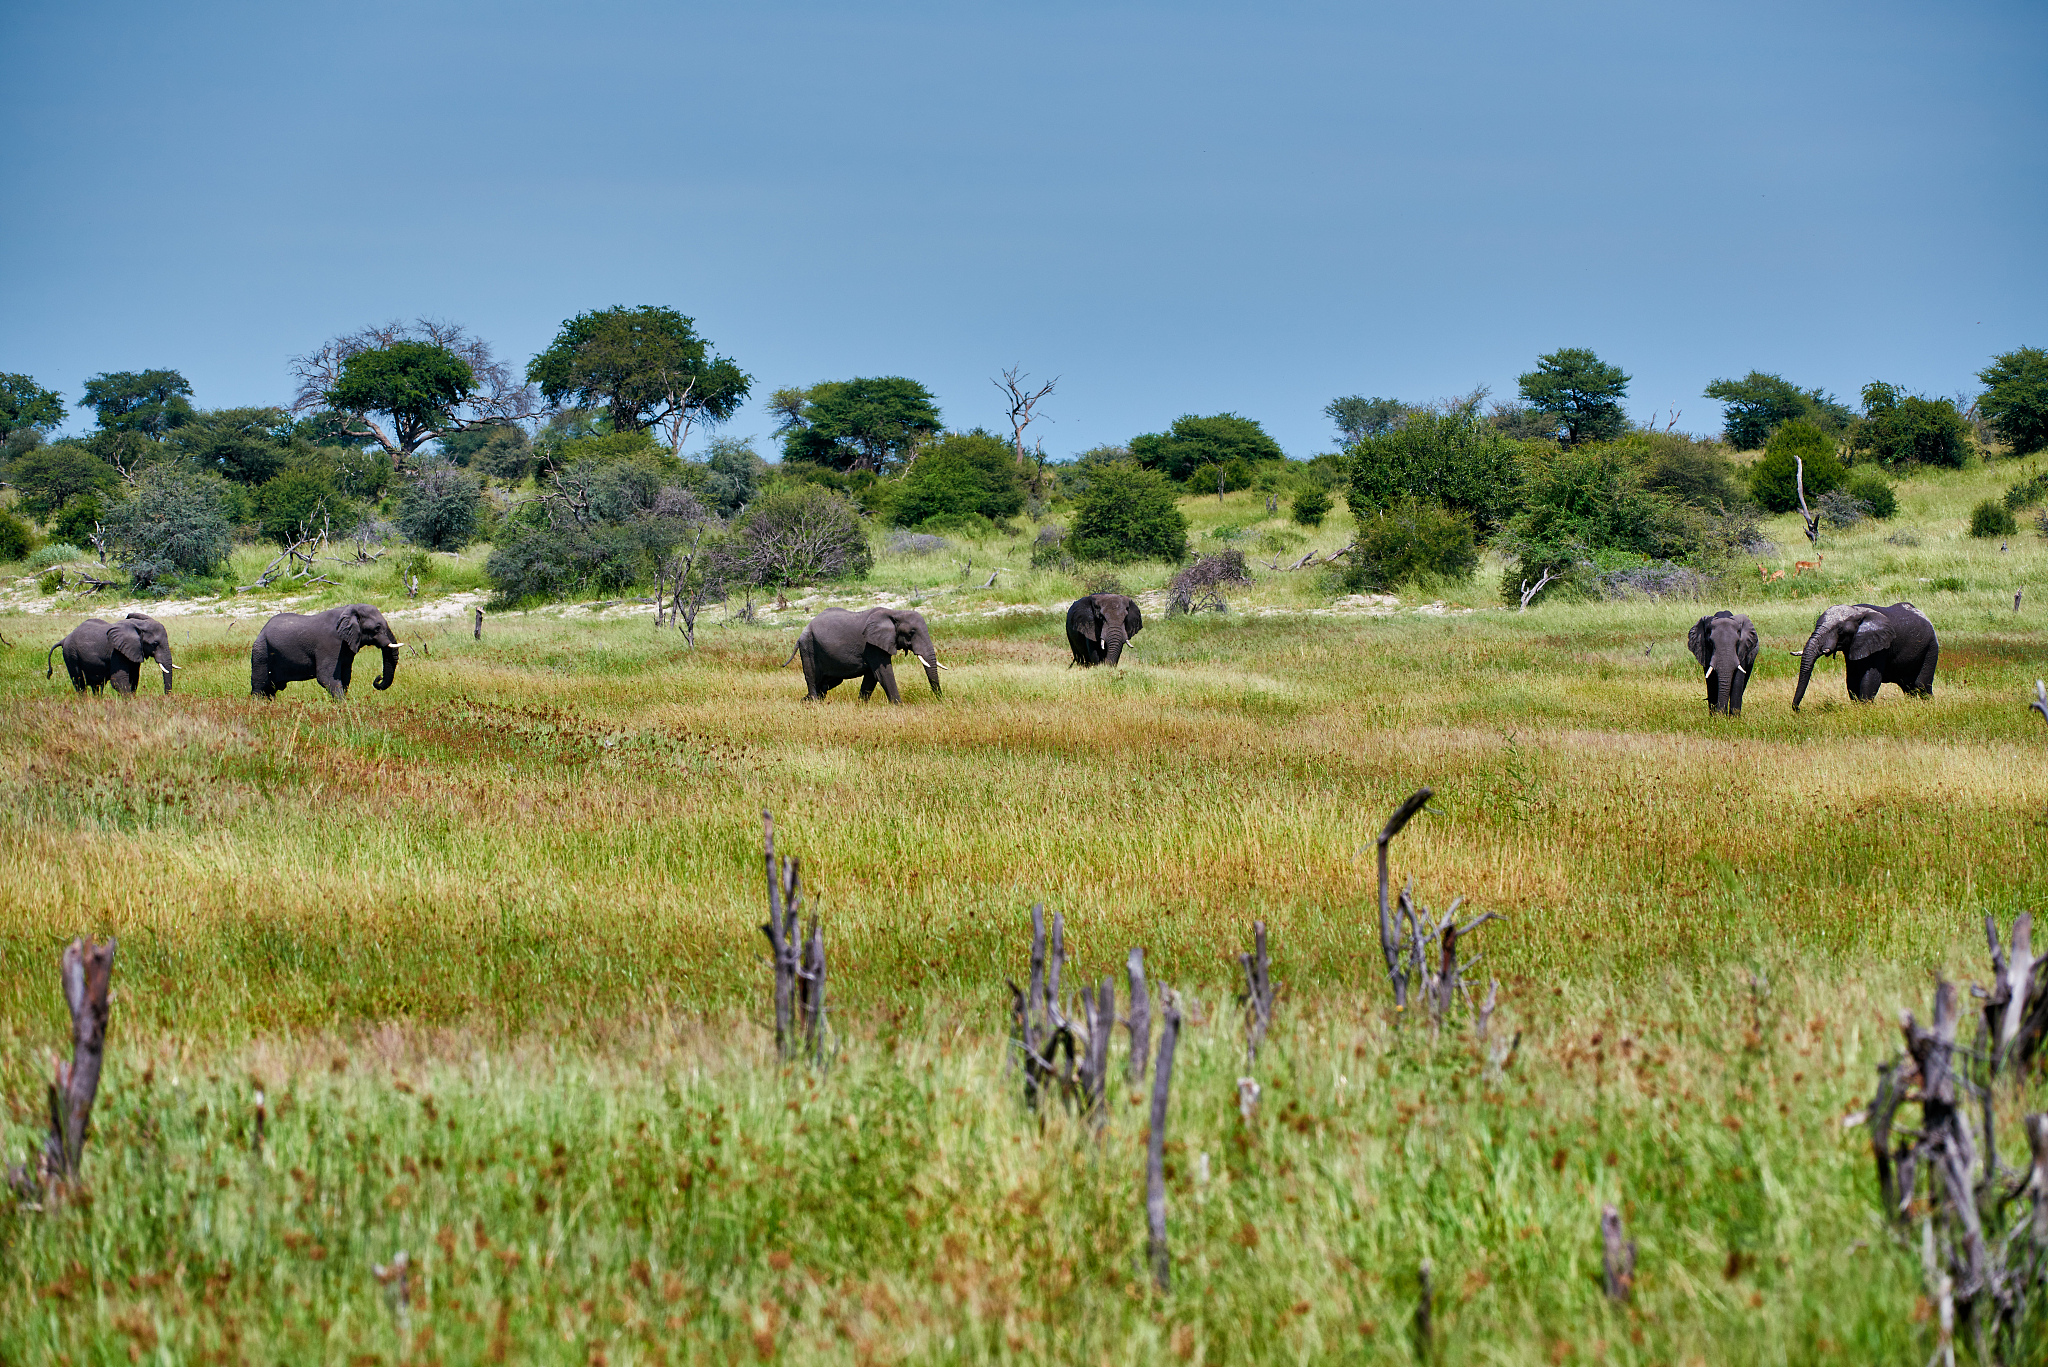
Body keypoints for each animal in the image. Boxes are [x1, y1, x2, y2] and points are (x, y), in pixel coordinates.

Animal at [46, 614, 176, 695]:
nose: (166, 698)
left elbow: (134, 678)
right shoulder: (116, 651)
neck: (137, 625)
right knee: (79, 682)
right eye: (155, 644)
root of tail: (64, 639)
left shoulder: (134, 650)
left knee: (96, 685)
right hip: (71, 654)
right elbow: (119, 680)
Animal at [251, 604, 404, 700]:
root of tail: (261, 631)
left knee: (270, 690)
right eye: (377, 628)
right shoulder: (330, 644)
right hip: (261, 651)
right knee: (259, 687)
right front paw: (344, 707)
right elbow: (327, 678)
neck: (348, 609)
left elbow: (345, 677)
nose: (378, 677)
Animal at [785, 606, 946, 704]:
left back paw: (805, 701)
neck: (896, 612)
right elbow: (883, 673)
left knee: (827, 683)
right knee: (812, 679)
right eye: (911, 633)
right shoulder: (872, 645)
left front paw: (860, 705)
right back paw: (814, 703)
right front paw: (899, 706)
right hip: (808, 647)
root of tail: (802, 632)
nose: (941, 700)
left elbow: (871, 677)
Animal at [1791, 602, 1938, 710]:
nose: (1797, 709)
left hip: (1931, 646)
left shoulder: (1880, 646)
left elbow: (1870, 678)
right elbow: (1852, 679)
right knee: (1908, 687)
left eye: (1840, 630)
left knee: (1921, 685)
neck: (1856, 611)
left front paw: (1865, 709)